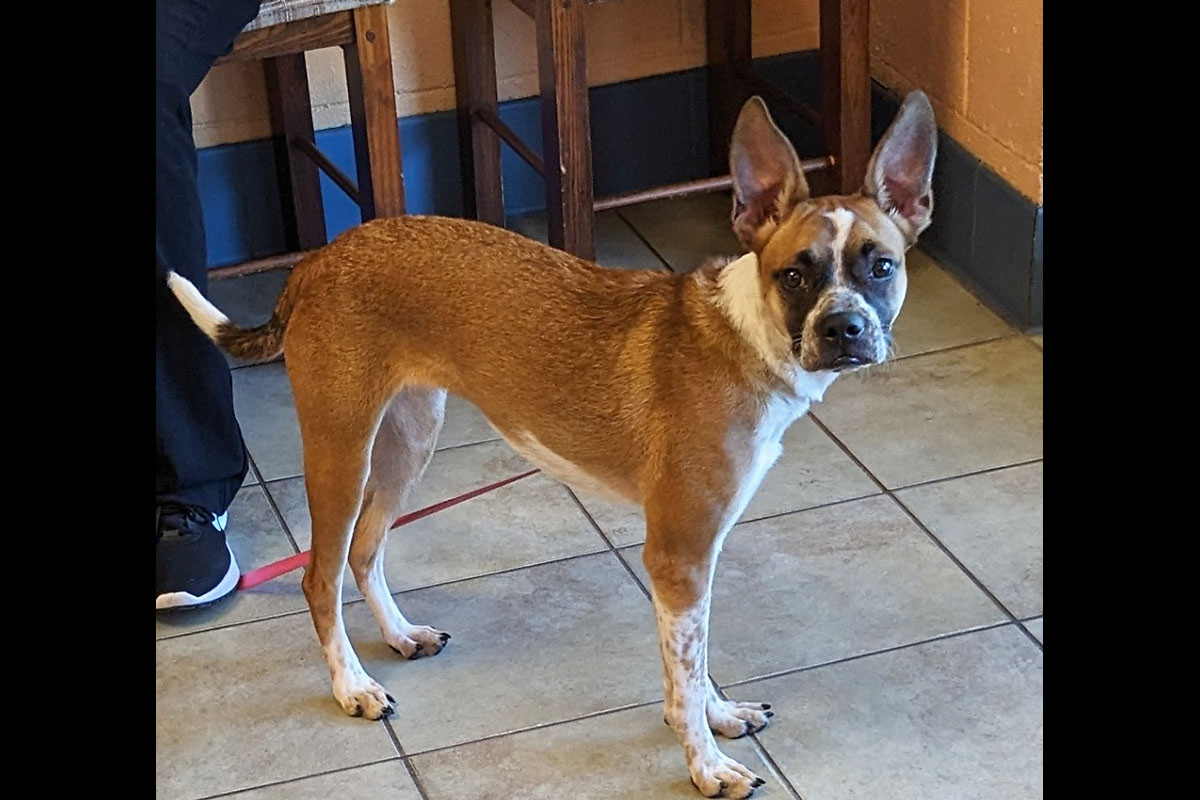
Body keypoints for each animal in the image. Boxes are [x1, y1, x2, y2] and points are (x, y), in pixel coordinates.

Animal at [169, 91, 936, 798]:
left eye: (881, 267)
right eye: (795, 274)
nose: (845, 330)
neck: (746, 341)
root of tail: (319, 258)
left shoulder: (693, 561)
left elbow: (693, 666)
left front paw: (715, 718)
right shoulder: (679, 553)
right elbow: (686, 675)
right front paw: (706, 764)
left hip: (409, 438)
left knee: (365, 551)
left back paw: (398, 634)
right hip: (341, 447)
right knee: (319, 576)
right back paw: (350, 685)